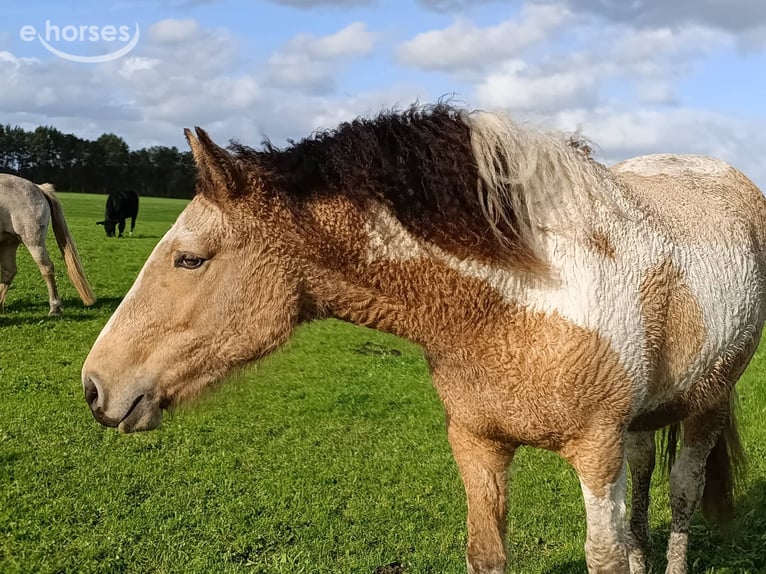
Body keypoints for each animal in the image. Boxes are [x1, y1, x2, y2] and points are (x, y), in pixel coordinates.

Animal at [0, 174, 96, 316]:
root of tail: (38, 187)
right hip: (8, 242)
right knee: (9, 271)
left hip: (34, 243)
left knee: (47, 268)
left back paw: (55, 308)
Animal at [81, 104, 766, 574]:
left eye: (189, 259)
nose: (95, 386)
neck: (521, 298)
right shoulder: (478, 444)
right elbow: (488, 552)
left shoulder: (596, 453)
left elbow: (606, 555)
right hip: (644, 420)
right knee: (647, 481)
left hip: (705, 405)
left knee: (682, 493)